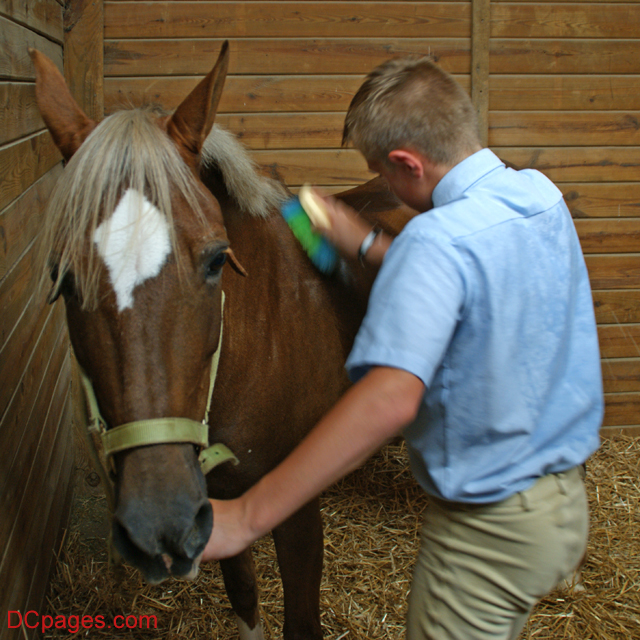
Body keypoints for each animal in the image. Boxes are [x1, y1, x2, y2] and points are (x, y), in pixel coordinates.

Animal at [31, 42, 413, 640]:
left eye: (216, 261)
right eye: (64, 278)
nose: (156, 521)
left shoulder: (297, 510)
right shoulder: (214, 500)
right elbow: (244, 593)